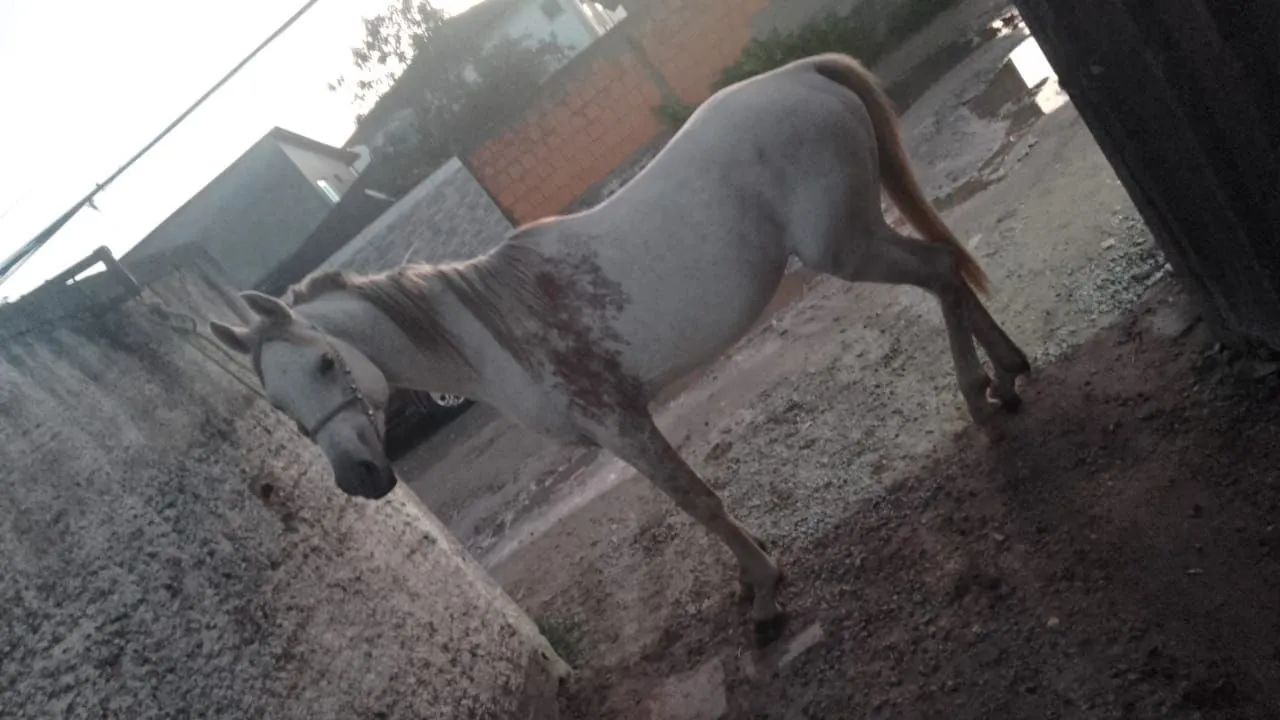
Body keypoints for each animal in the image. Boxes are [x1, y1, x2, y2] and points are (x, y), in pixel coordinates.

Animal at [209, 53, 1030, 644]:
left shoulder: (623, 424)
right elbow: (695, 505)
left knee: (938, 273)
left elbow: (697, 501)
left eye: (326, 363)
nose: (360, 477)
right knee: (946, 270)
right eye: (279, 406)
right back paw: (1009, 376)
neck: (488, 330)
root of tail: (802, 72)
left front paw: (764, 595)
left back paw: (980, 395)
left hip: (847, 244)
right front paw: (752, 580)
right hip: (860, 235)